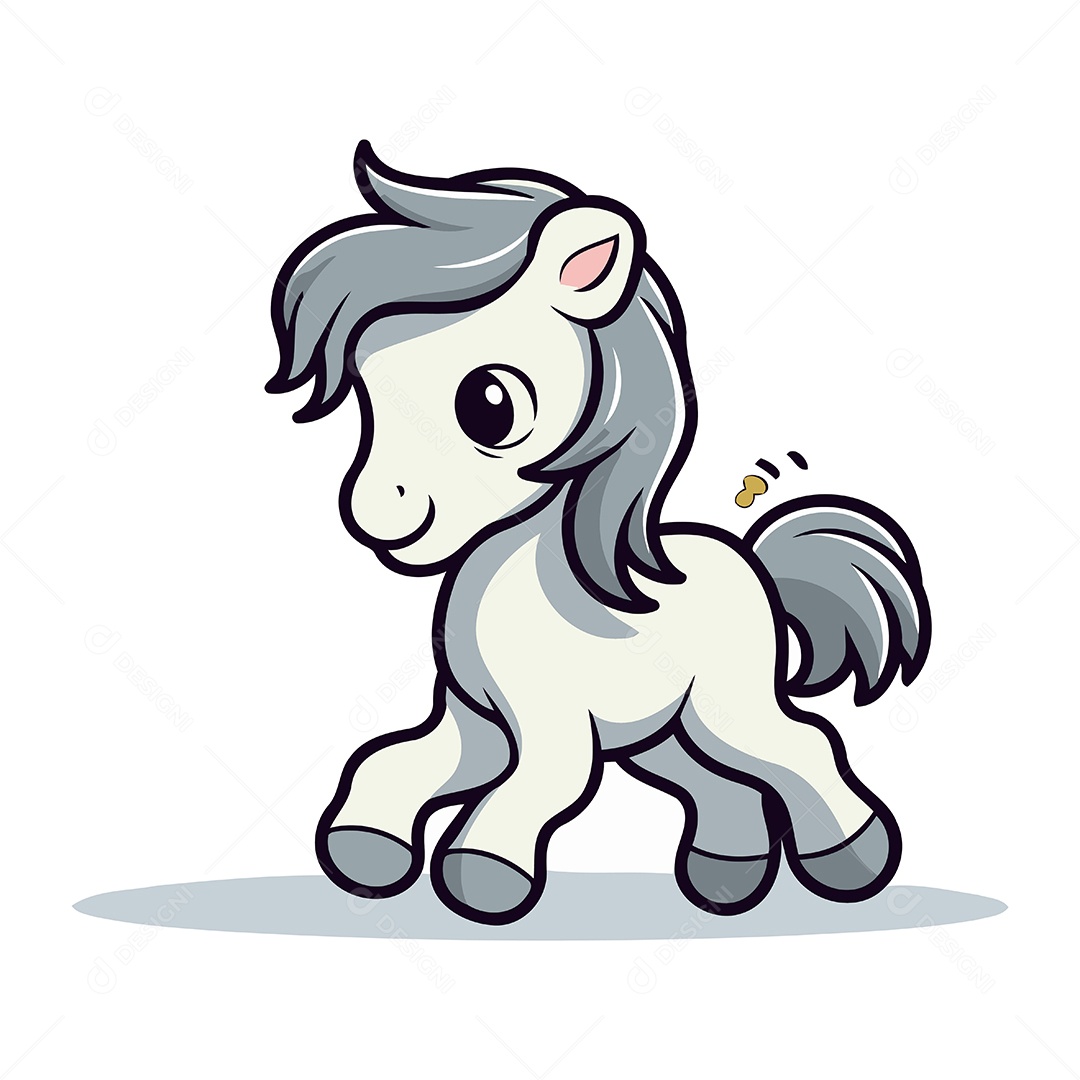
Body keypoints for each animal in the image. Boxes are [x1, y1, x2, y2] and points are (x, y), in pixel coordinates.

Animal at [266, 140, 931, 925]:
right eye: (367, 386)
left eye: (489, 404)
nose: (378, 515)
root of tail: (751, 561)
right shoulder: (477, 724)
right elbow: (392, 761)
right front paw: (363, 847)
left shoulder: (552, 733)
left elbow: (532, 792)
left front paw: (483, 877)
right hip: (664, 735)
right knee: (721, 785)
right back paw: (725, 878)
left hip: (724, 712)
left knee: (800, 749)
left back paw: (853, 858)